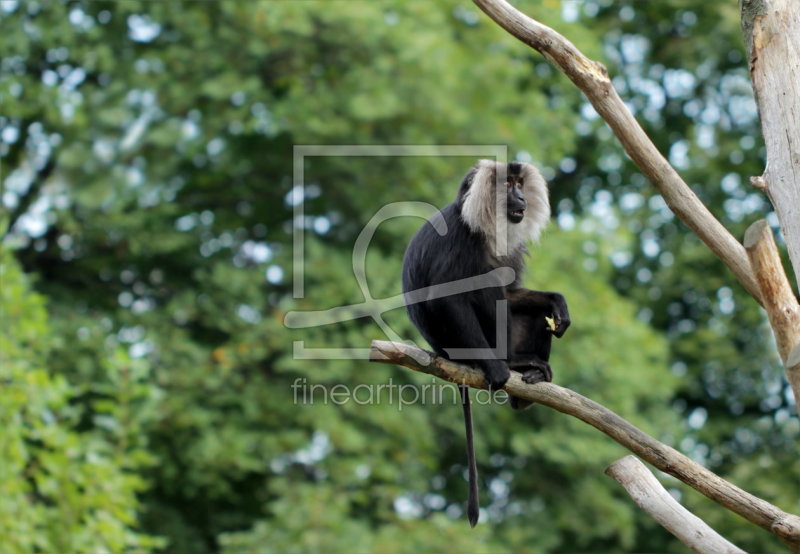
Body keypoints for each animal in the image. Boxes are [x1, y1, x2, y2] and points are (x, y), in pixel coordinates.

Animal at [400, 160, 568, 528]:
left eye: (519, 183)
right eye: (507, 185)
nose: (520, 196)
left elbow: (513, 293)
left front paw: (557, 301)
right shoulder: (460, 237)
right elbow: (448, 298)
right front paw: (496, 370)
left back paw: (528, 376)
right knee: (485, 288)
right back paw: (508, 365)